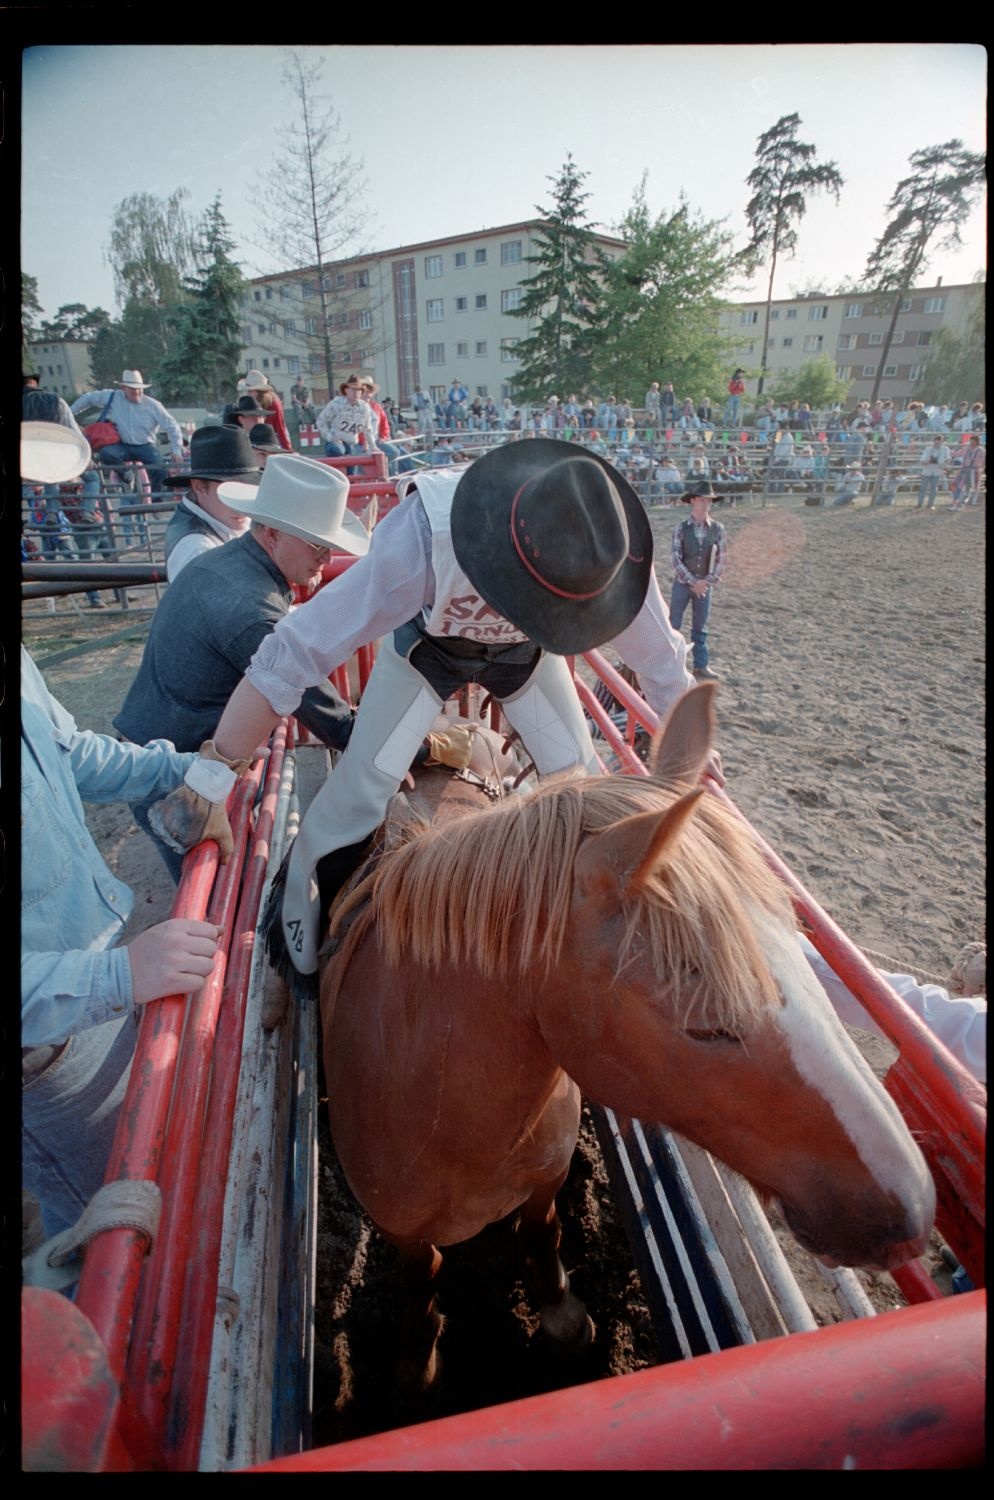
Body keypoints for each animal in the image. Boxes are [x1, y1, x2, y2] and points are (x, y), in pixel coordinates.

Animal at [319, 687, 935, 1386]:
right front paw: (416, 1356)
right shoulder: (401, 1228)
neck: (439, 1101)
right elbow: (423, 1275)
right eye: (708, 1025)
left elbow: (543, 1233)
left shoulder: (546, 1181)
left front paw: (563, 1316)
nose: (912, 1207)